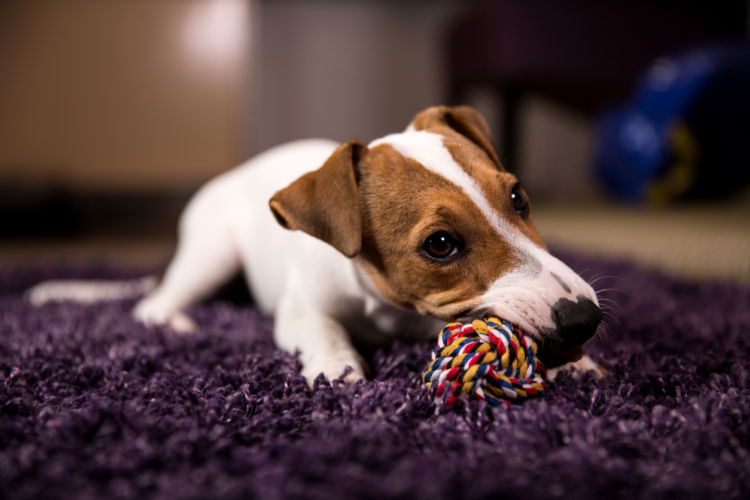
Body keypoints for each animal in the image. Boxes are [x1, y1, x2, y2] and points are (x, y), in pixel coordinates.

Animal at [27, 106, 604, 382]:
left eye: (518, 196)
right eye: (440, 244)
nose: (585, 318)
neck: (389, 310)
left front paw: (576, 363)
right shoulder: (300, 312)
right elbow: (322, 331)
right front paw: (336, 368)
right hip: (212, 256)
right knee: (154, 301)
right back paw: (174, 320)